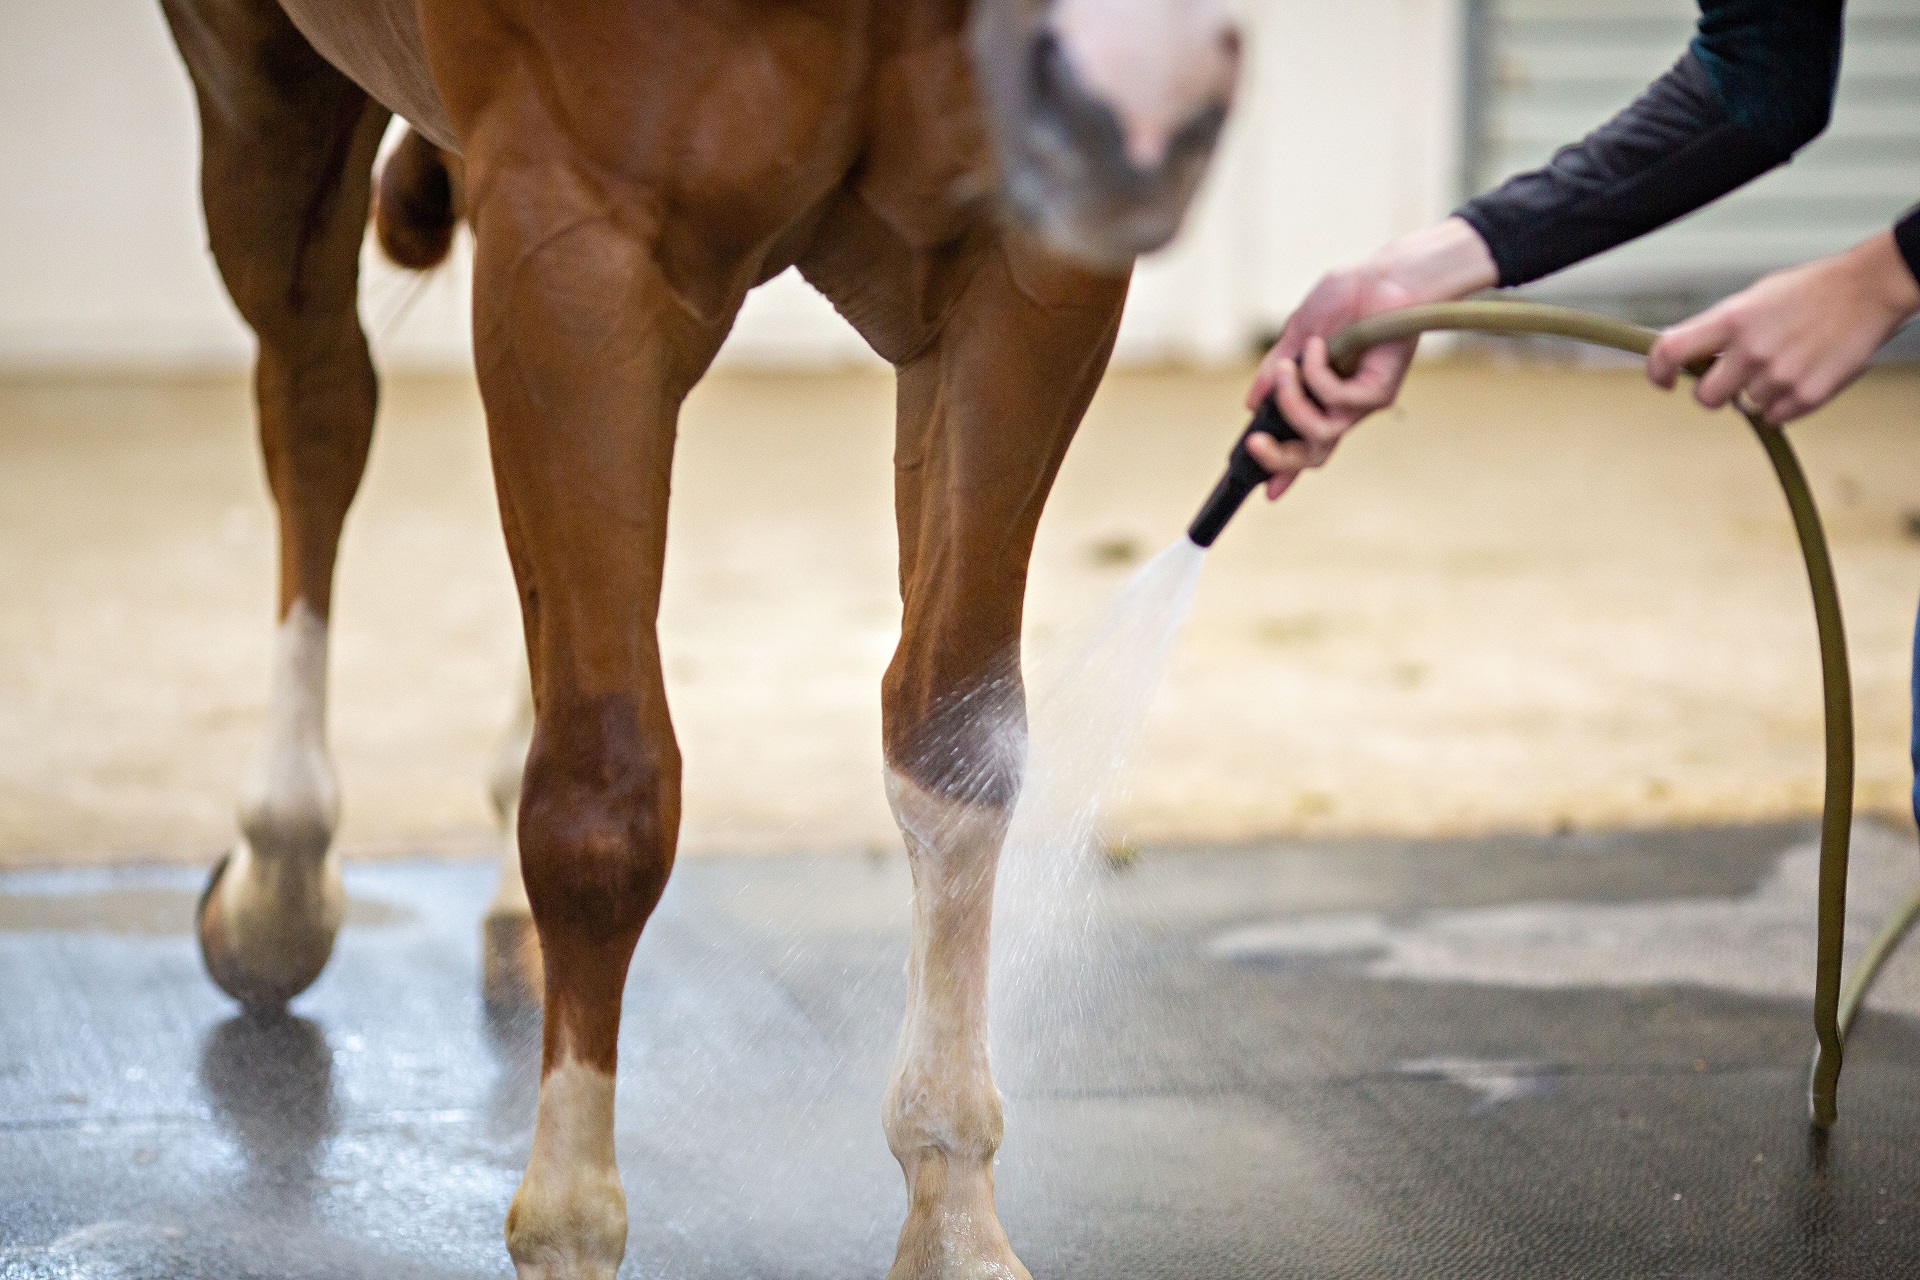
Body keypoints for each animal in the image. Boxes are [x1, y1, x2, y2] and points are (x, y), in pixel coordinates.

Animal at [159, 0, 1240, 1275]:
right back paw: (279, 877)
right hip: (263, 86)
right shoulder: (579, 247)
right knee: (318, 401)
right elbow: (602, 808)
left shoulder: (1025, 270)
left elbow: (955, 743)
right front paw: (570, 1220)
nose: (1167, 73)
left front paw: (953, 1213)